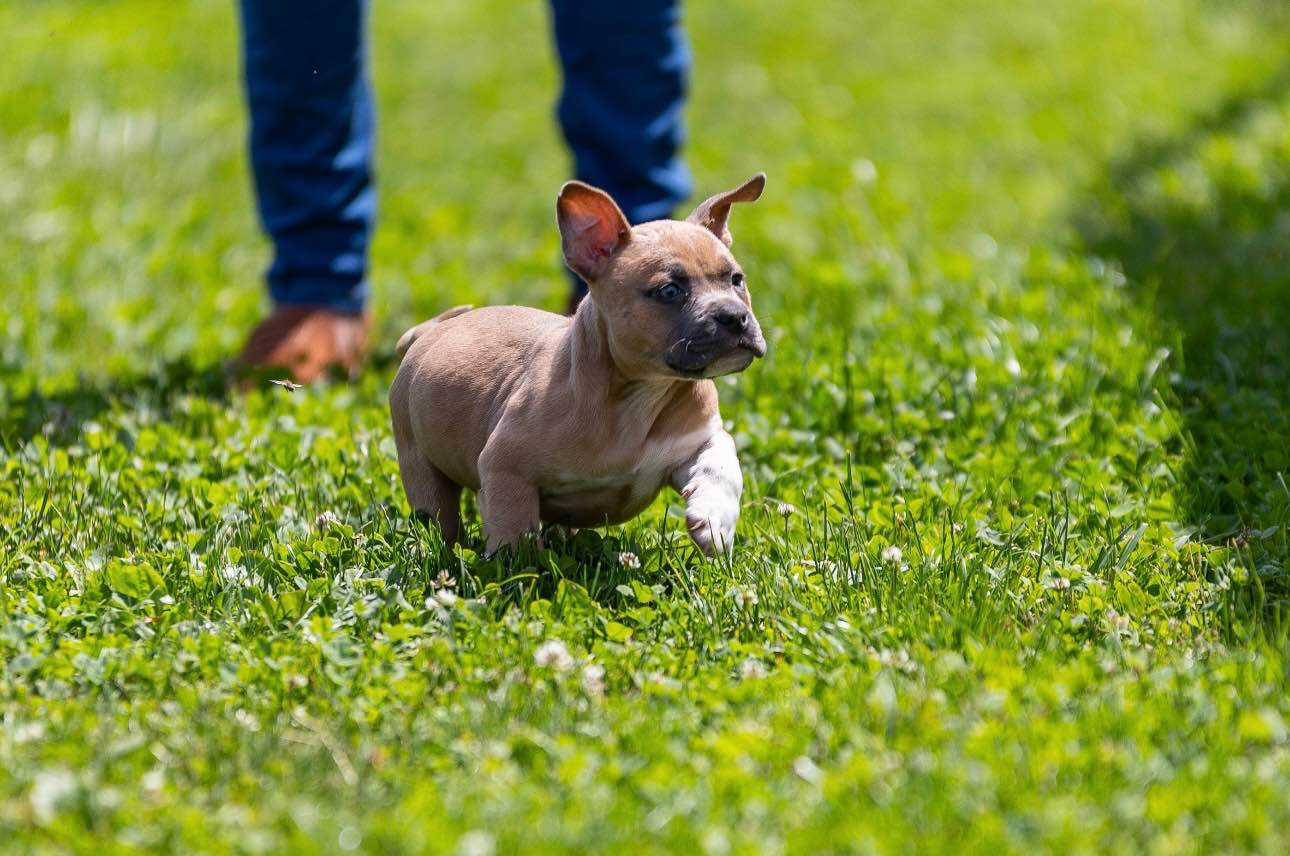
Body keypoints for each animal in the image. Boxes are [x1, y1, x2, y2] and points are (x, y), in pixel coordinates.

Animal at [384, 174, 763, 554]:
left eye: (737, 280)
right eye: (669, 291)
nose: (735, 317)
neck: (641, 393)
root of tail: (429, 331)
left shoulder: (698, 439)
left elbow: (723, 464)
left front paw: (715, 520)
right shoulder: (506, 469)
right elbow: (514, 534)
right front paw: (516, 567)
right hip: (419, 463)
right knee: (440, 517)